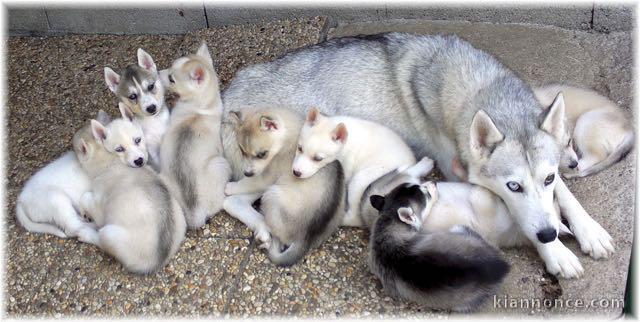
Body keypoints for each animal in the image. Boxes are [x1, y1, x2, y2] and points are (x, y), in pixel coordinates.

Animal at [224, 107, 348, 266]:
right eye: (241, 150)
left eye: (262, 154)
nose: (247, 172)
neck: (288, 137)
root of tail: (305, 239)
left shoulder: (266, 177)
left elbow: (248, 183)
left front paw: (230, 186)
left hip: (271, 194)